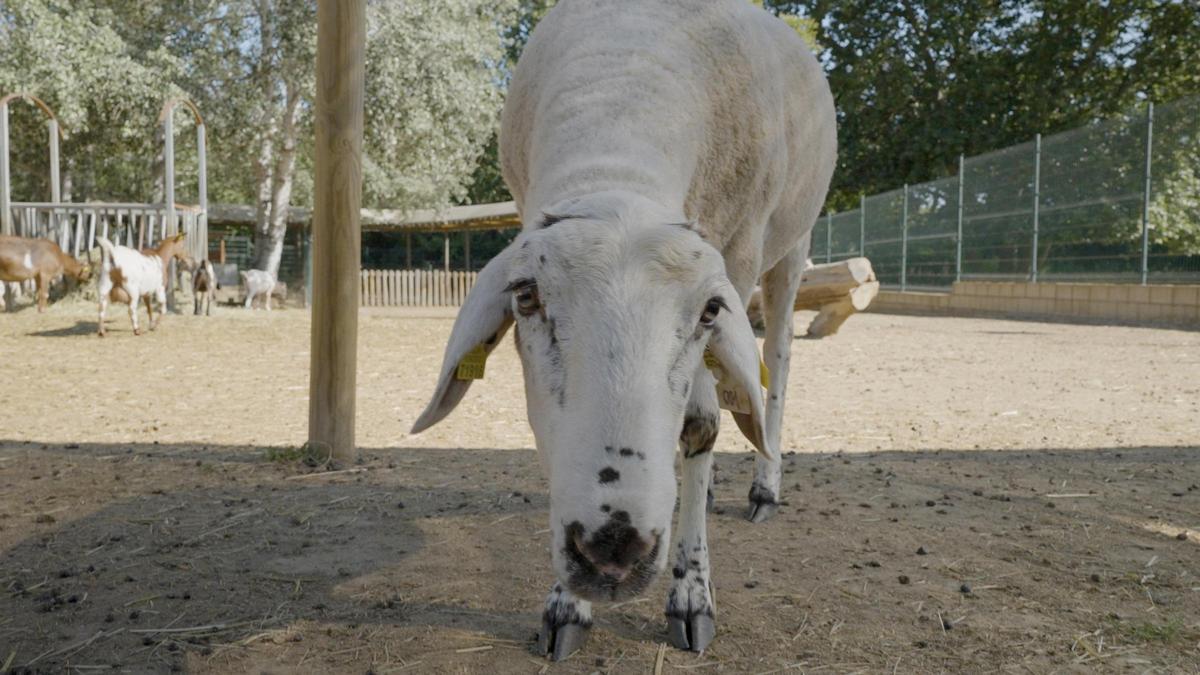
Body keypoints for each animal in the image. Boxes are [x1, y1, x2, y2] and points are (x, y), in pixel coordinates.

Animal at [411, 0, 836, 659]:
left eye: (710, 310)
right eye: (525, 296)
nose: (613, 548)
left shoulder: (738, 254)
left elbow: (703, 424)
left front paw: (691, 596)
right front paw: (566, 605)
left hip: (791, 245)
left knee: (777, 359)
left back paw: (764, 487)